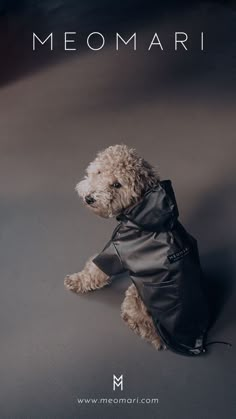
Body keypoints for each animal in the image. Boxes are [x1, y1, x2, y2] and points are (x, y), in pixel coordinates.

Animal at [64, 146, 164, 350]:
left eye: (117, 184)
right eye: (99, 172)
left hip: (134, 295)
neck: (141, 210)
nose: (90, 198)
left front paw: (76, 280)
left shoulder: (116, 251)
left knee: (146, 328)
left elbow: (95, 270)